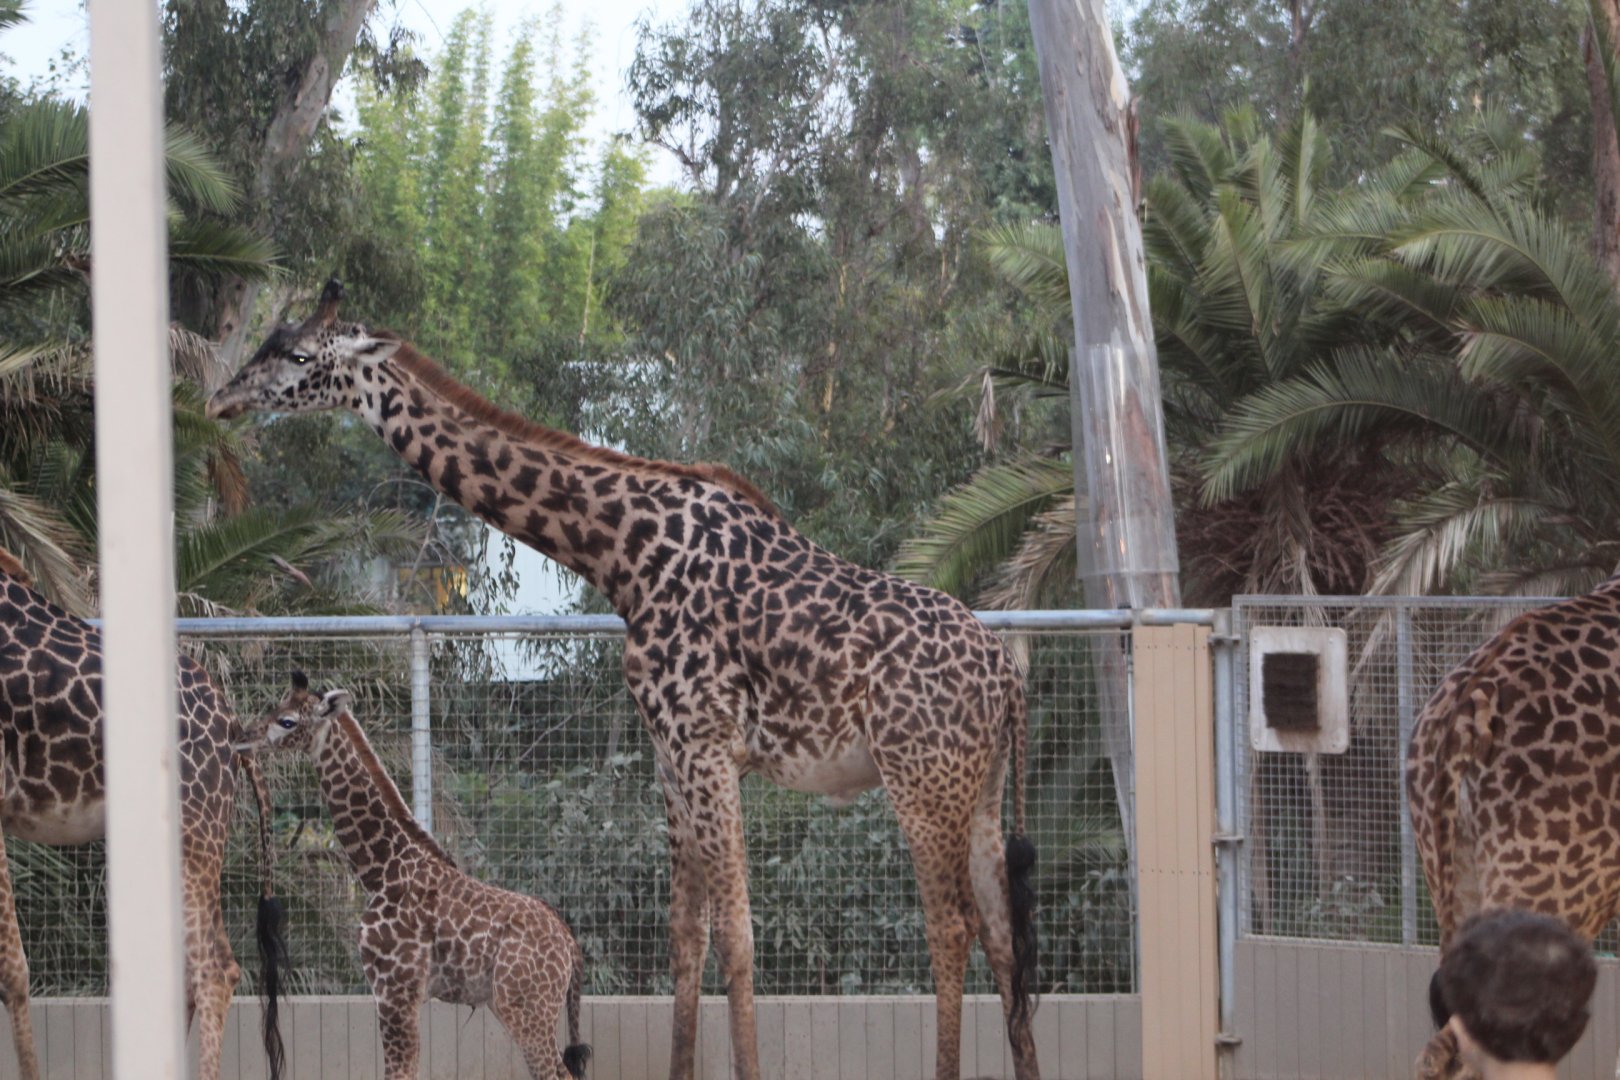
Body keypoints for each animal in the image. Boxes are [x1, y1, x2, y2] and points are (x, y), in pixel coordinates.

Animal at [247, 671, 591, 1080]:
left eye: (286, 720)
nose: (244, 734)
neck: (381, 869)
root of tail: (570, 946)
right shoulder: (400, 994)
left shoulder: (395, 991)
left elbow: (400, 1072)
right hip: (519, 1006)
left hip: (525, 1008)